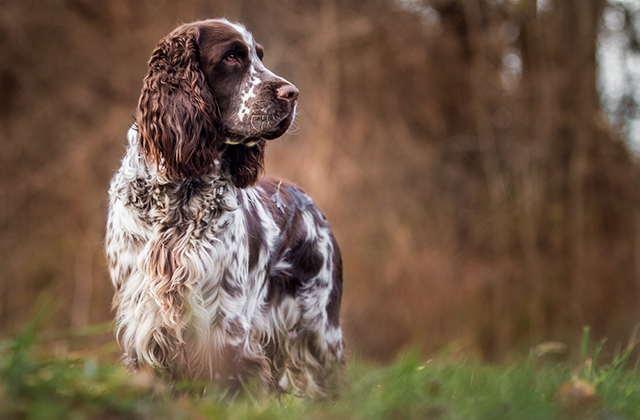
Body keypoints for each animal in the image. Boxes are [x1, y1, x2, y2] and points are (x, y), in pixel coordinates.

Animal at [105, 17, 344, 398]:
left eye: (260, 56)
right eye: (232, 56)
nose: (292, 93)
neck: (179, 194)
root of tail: (305, 198)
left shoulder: (226, 328)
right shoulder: (142, 321)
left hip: (320, 329)